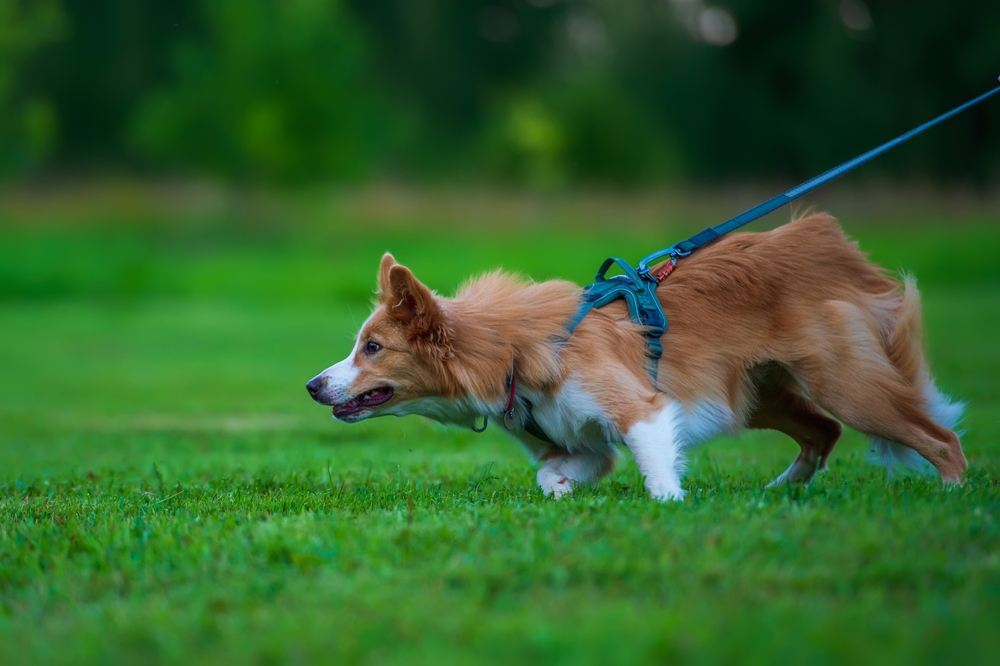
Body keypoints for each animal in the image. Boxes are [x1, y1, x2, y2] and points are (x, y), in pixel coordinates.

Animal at [306, 215, 968, 500]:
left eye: (372, 348)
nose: (313, 386)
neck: (507, 347)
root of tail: (826, 241)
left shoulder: (641, 406)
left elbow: (653, 462)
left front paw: (670, 504)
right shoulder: (580, 437)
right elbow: (560, 470)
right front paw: (562, 489)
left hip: (844, 381)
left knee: (939, 440)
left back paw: (955, 496)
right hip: (759, 393)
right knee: (822, 433)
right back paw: (780, 490)